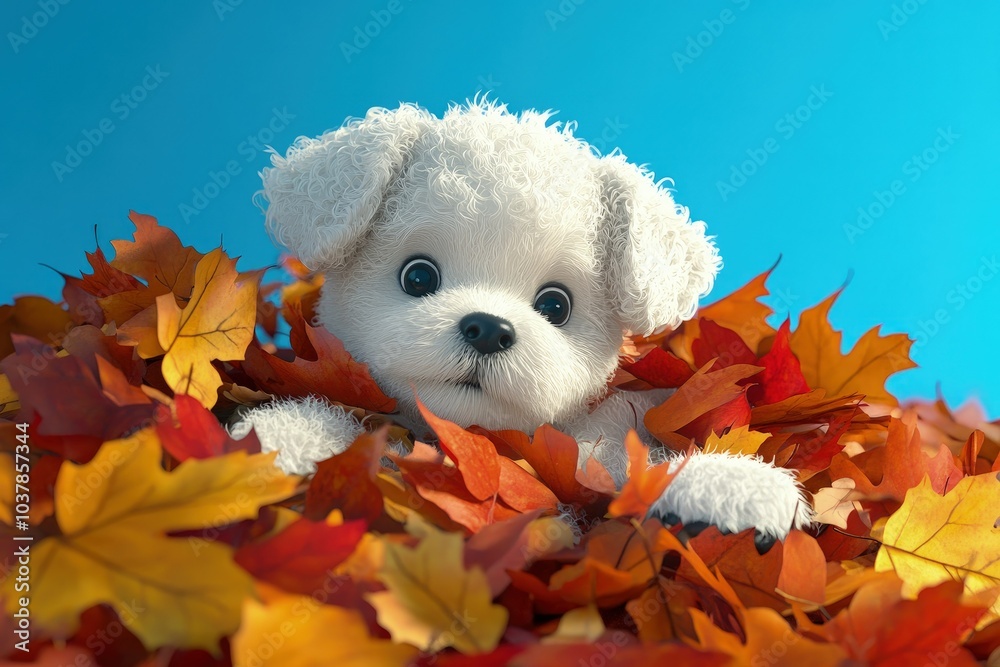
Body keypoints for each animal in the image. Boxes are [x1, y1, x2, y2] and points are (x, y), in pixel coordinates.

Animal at [238, 99, 816, 548]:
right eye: (418, 276)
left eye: (556, 306)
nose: (488, 329)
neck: (471, 447)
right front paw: (279, 439)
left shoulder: (595, 447)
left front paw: (727, 489)